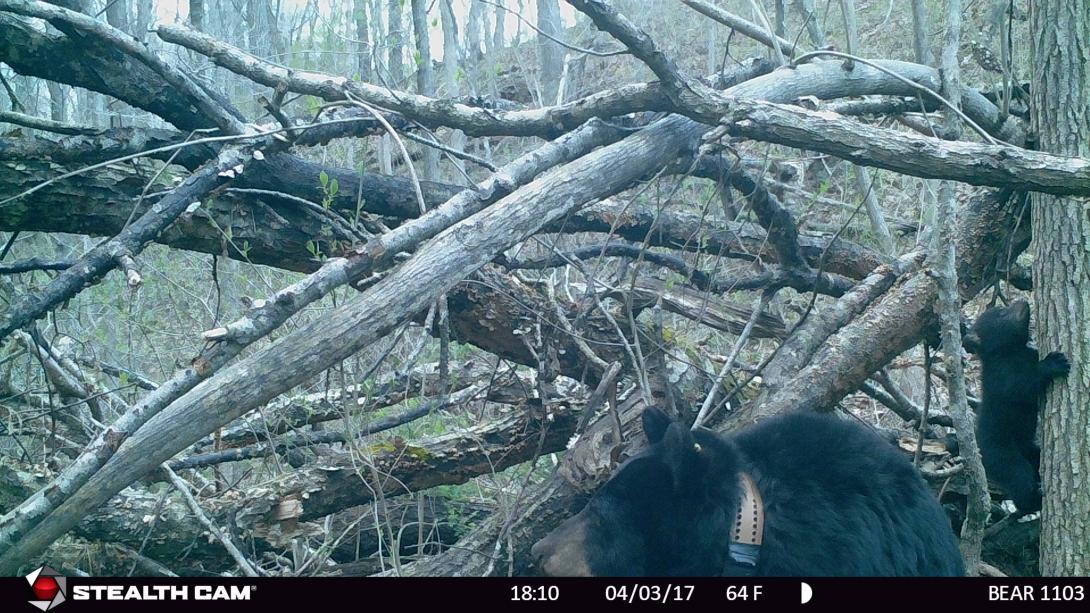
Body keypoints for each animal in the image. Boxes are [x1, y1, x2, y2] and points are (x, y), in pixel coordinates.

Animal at [967, 298, 1068, 512]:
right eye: (1001, 313)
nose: (1022, 301)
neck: (1012, 350)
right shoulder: (1000, 374)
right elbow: (1020, 386)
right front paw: (1054, 363)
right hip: (999, 453)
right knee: (1019, 476)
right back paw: (1032, 500)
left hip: (1029, 449)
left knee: (1036, 459)